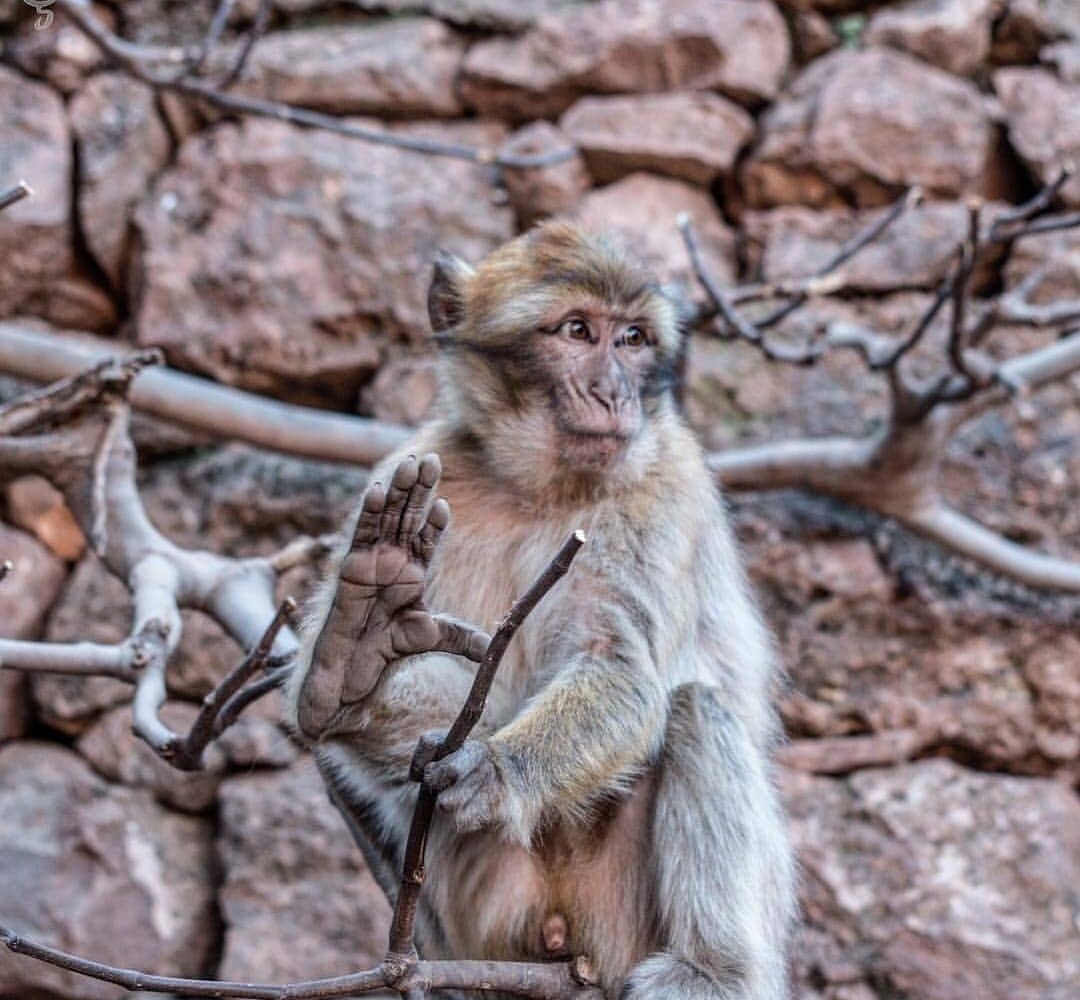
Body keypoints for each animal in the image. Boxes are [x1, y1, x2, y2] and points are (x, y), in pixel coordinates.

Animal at [285, 221, 794, 1000]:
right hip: (481, 909)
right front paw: (354, 665)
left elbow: (622, 670)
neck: (544, 488)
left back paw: (715, 971)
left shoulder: (662, 486)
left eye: (634, 339)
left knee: (698, 708)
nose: (615, 393)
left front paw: (496, 771)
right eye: (578, 330)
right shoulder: (423, 459)